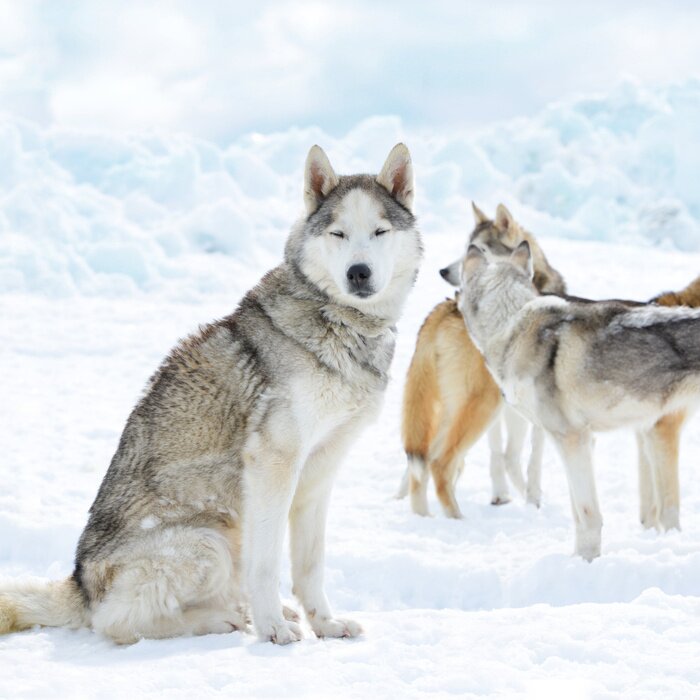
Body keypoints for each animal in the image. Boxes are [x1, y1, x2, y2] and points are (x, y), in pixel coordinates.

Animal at [0, 144, 422, 644]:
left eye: (380, 231)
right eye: (338, 233)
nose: (359, 273)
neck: (338, 322)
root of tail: (79, 585)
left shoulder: (319, 473)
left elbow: (310, 565)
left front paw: (325, 623)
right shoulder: (272, 465)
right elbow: (267, 565)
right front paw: (273, 629)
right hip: (209, 542)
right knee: (117, 623)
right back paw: (224, 618)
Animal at [396, 203, 565, 517]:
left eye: (478, 249)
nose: (444, 271)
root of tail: (444, 309)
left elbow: (505, 456)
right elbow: (523, 460)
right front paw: (531, 501)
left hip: (449, 409)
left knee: (421, 461)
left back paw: (421, 515)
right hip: (480, 406)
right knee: (440, 462)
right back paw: (456, 519)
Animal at [459, 242, 700, 560]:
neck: (514, 324)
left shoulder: (573, 440)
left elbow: (588, 516)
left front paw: (586, 561)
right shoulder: (585, 441)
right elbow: (576, 514)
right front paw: (575, 562)